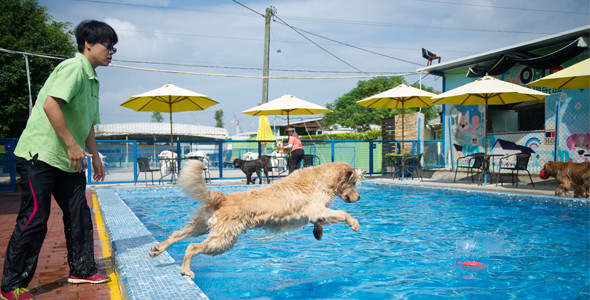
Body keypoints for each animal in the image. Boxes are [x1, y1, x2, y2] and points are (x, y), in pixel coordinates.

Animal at [149, 161, 360, 278]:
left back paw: (158, 248)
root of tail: (223, 197)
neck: (321, 179)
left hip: (201, 226)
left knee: (177, 234)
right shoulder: (316, 208)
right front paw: (354, 223)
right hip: (223, 240)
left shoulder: (316, 211)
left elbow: (322, 220)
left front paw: (318, 232)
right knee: (192, 247)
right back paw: (185, 269)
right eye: (354, 183)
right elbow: (342, 213)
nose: (359, 198)